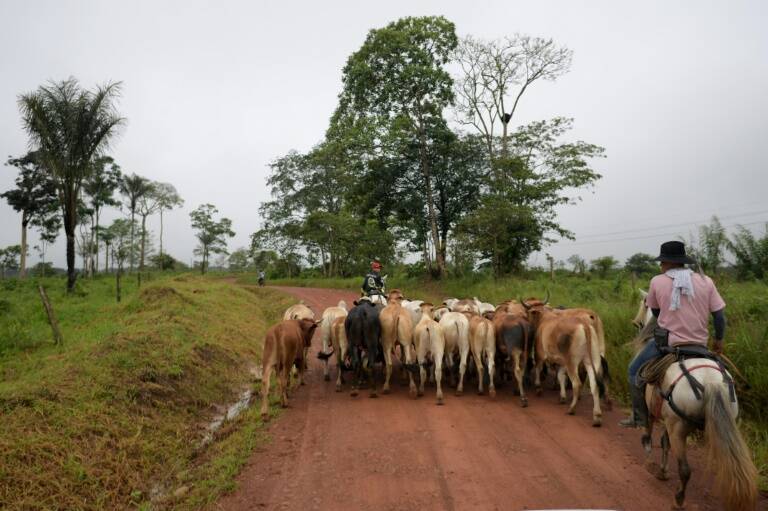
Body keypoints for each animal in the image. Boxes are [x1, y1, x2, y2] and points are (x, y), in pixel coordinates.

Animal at [632, 296, 756, 511]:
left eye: (643, 309)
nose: (636, 324)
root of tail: (711, 382)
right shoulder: (668, 418)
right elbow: (664, 442)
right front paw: (663, 471)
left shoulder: (663, 418)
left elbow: (655, 434)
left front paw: (650, 452)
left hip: (678, 427)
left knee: (685, 469)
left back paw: (679, 500)